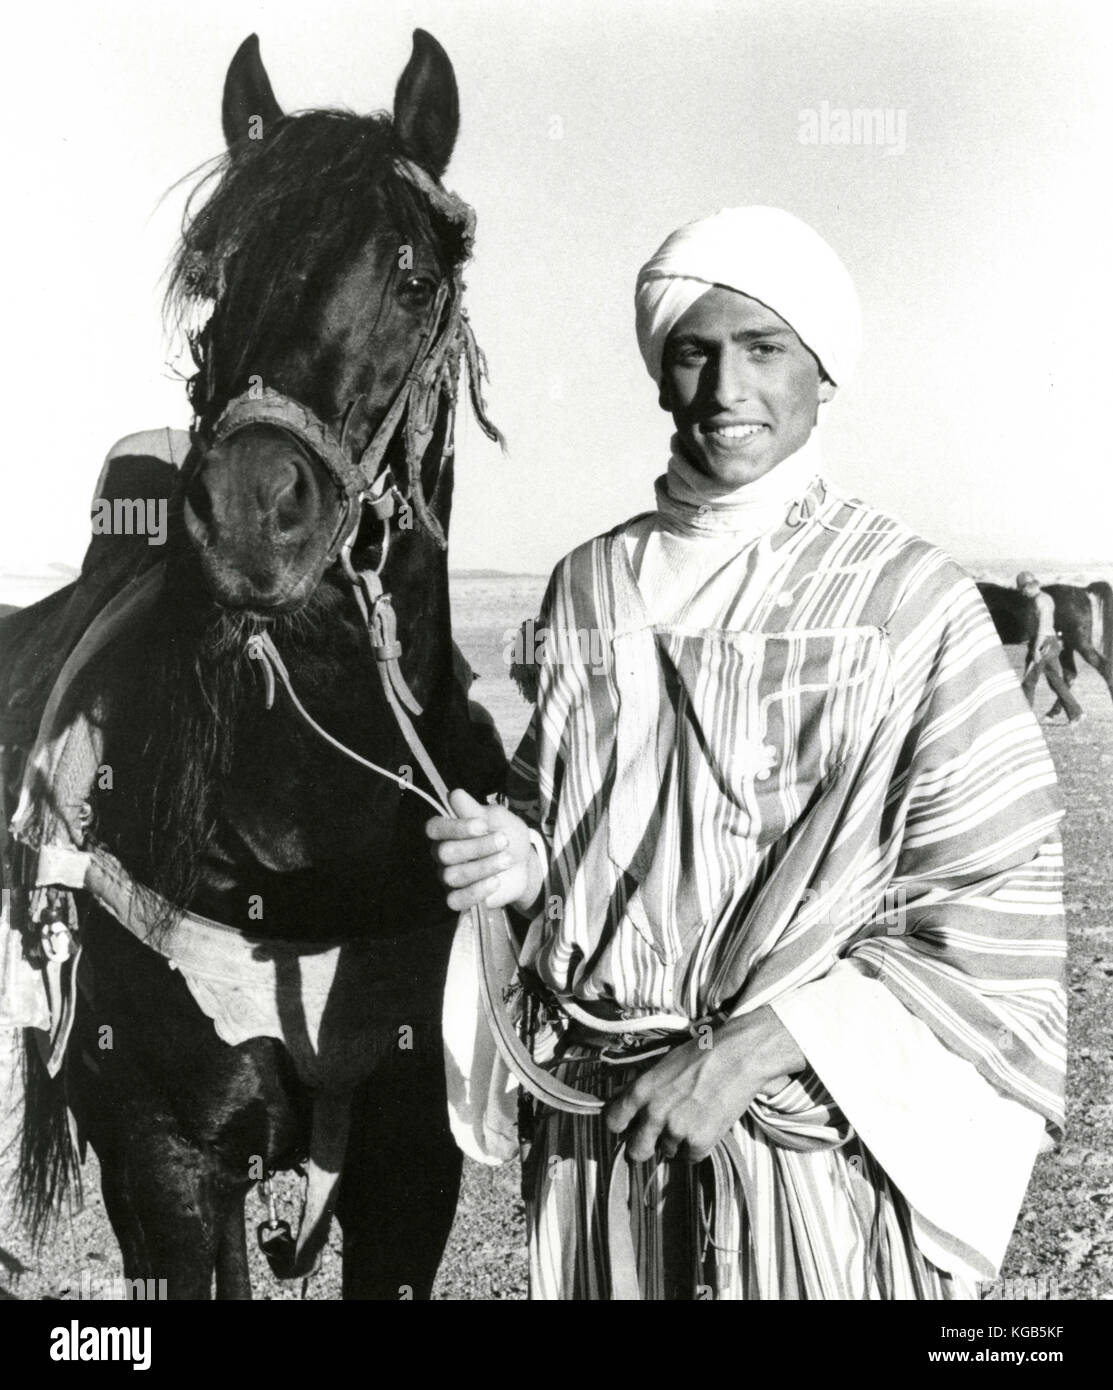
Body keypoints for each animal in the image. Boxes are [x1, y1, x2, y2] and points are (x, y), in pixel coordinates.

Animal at [4, 27, 503, 1295]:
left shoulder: (409, 1168)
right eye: (218, 274)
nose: (248, 512)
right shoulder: (167, 1160)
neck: (299, 833)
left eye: (413, 277)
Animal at [972, 578, 1111, 711]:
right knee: (1070, 675)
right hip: (1066, 646)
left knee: (1103, 666)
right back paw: (1054, 712)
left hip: (1080, 642)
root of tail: (1081, 590)